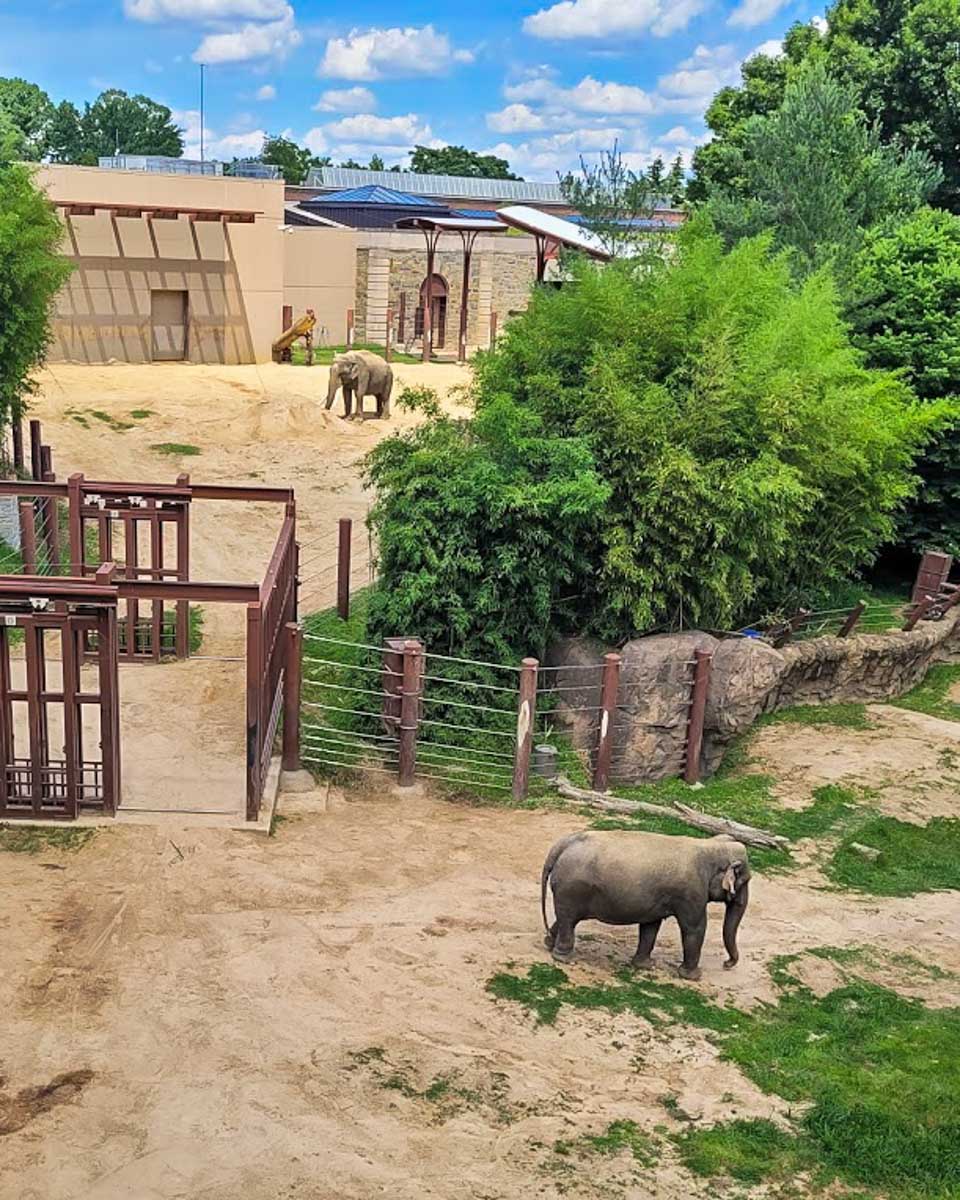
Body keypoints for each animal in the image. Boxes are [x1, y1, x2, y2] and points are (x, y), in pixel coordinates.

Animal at [540, 830, 751, 980]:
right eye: (745, 881)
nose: (726, 964)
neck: (709, 845)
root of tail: (562, 845)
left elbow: (651, 926)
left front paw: (645, 965)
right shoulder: (691, 893)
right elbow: (695, 927)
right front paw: (693, 977)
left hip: (569, 890)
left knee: (565, 919)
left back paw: (549, 943)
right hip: (572, 889)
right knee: (568, 919)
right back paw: (564, 958)